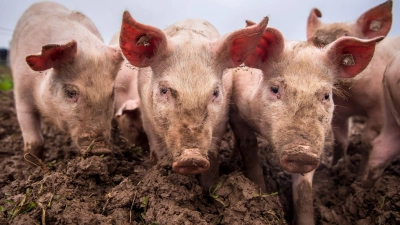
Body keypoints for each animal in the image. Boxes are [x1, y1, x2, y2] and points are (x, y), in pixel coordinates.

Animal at [10, 2, 123, 160]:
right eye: (70, 92)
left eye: (112, 93)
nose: (101, 150)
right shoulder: (21, 90)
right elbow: (34, 141)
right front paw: (33, 163)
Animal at [118, 10, 268, 189]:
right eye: (163, 90)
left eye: (215, 92)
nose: (191, 157)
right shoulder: (146, 116)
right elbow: (157, 152)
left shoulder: (222, 118)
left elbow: (213, 155)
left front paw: (208, 190)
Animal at [231, 20, 382, 224]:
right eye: (275, 89)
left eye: (326, 95)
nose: (302, 151)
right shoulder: (237, 113)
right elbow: (250, 152)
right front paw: (260, 193)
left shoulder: (316, 148)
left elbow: (304, 191)